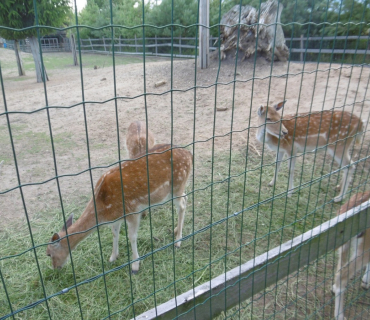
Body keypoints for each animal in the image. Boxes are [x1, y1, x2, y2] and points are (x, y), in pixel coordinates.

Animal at [45, 144, 194, 272]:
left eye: (48, 253)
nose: (55, 268)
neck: (104, 208)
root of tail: (190, 154)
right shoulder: (116, 217)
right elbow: (115, 233)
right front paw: (112, 257)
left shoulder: (133, 210)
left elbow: (132, 236)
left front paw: (135, 265)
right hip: (174, 191)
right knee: (186, 197)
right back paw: (175, 230)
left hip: (177, 185)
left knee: (182, 204)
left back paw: (178, 241)